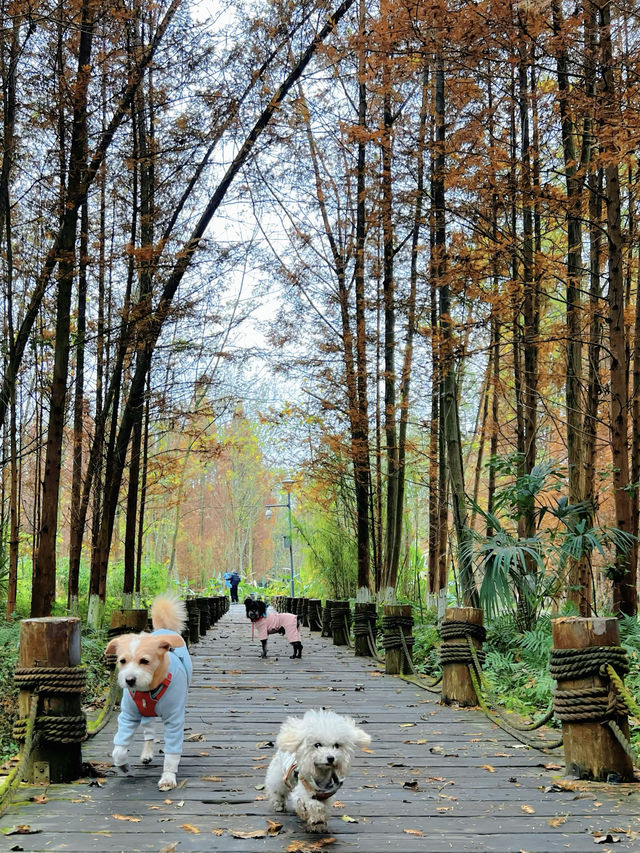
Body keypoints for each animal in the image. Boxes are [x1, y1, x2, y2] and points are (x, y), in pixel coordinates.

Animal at [104, 596, 190, 788]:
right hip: (146, 716)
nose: (129, 680)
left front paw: (168, 777)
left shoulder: (174, 720)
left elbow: (172, 753)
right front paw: (123, 766)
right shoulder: (128, 717)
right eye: (122, 661)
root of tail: (164, 630)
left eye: (145, 661)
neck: (148, 690)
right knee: (149, 734)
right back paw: (146, 754)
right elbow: (119, 749)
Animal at [264, 704, 370, 832]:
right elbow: (313, 805)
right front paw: (312, 816)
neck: (320, 775)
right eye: (317, 745)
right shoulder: (302, 793)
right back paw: (278, 805)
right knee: (277, 790)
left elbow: (323, 808)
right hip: (278, 775)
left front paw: (318, 822)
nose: (331, 758)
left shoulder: (326, 796)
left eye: (336, 745)